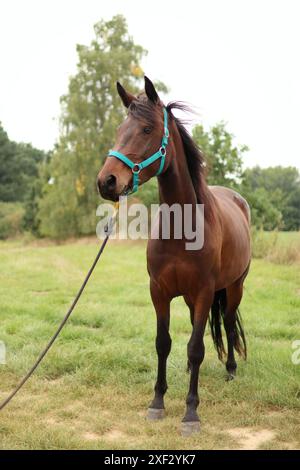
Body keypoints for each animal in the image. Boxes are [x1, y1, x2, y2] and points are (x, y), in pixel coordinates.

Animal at [96, 76, 251, 434]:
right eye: (120, 129)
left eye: (147, 129)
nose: (106, 181)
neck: (182, 229)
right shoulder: (160, 292)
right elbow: (163, 343)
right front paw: (157, 402)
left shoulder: (206, 291)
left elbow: (195, 347)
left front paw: (191, 412)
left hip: (233, 287)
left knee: (227, 323)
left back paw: (231, 370)